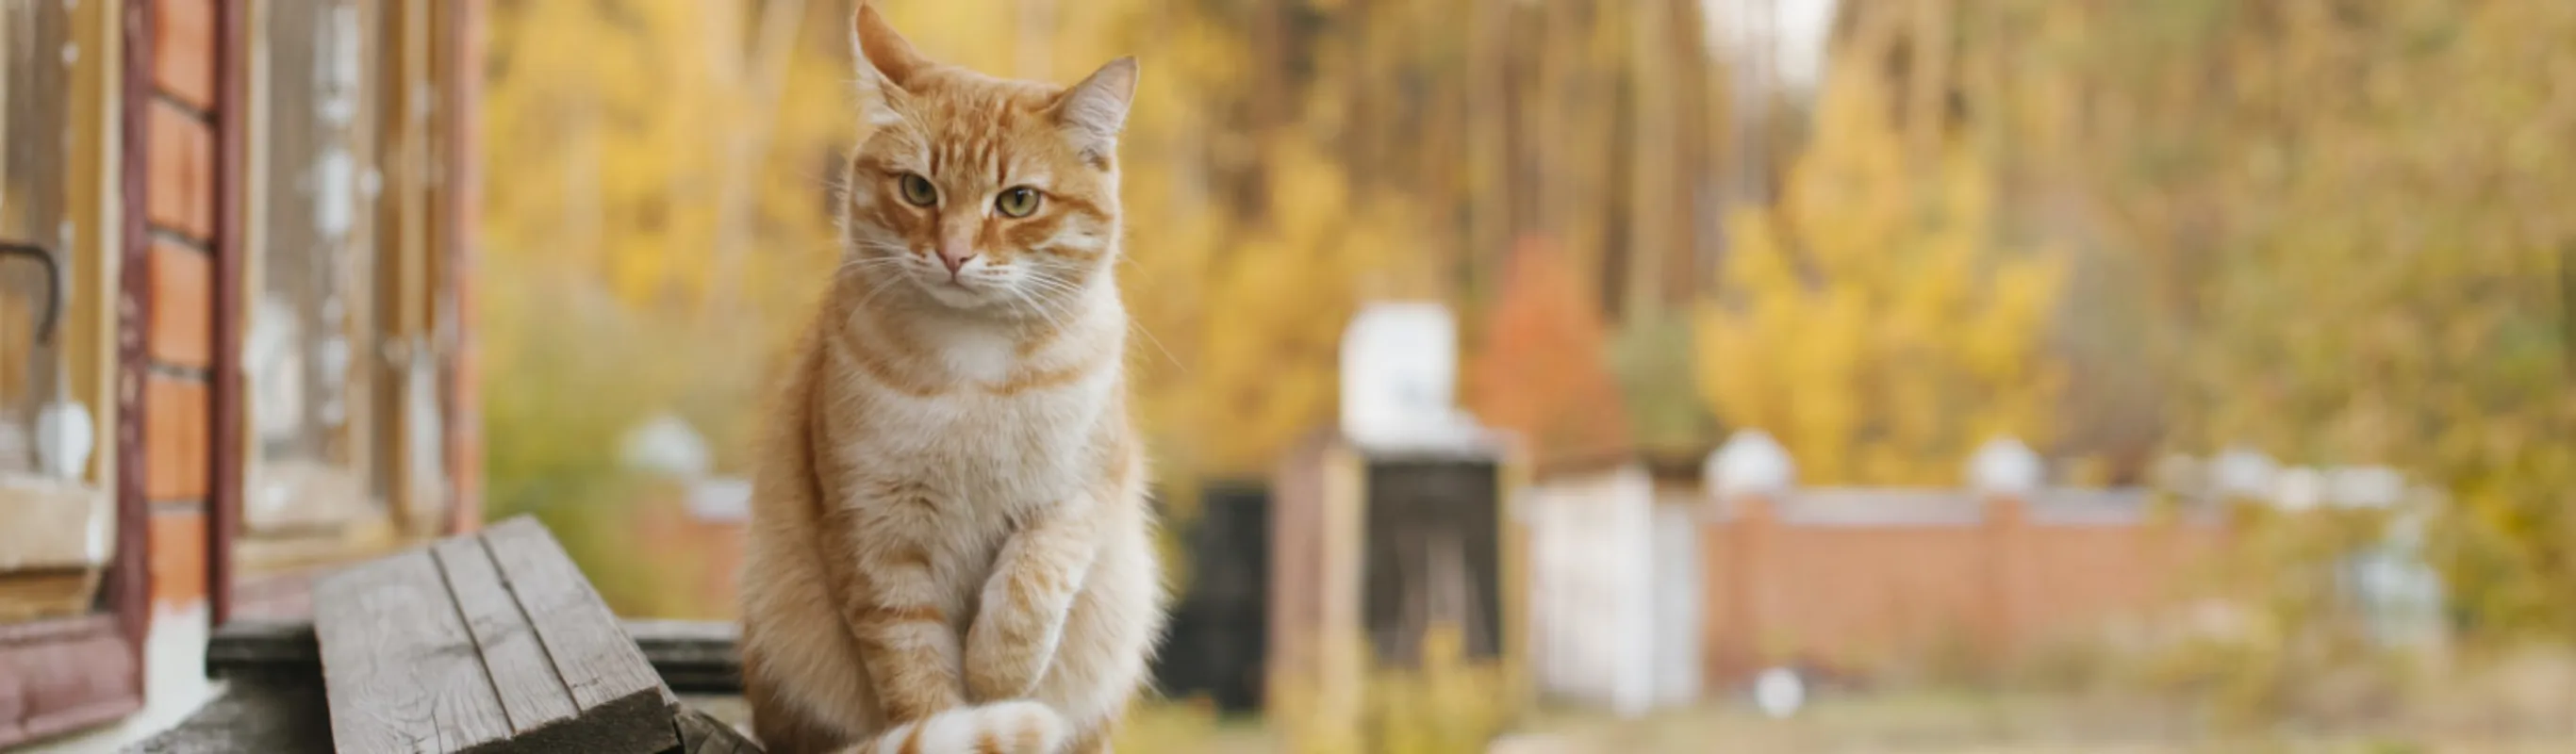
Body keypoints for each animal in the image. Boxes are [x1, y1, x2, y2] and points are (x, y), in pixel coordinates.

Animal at [731, 7, 1164, 751]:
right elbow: (919, 679)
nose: (954, 254)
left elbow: (1031, 582)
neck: (975, 374)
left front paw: (999, 670)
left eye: (1018, 201)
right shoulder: (875, 538)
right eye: (918, 189)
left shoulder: (1083, 491)